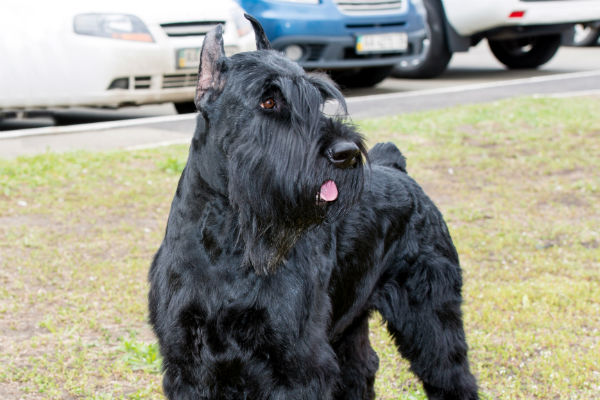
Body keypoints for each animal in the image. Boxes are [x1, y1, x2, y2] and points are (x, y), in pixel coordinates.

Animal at [149, 15, 478, 400]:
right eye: (269, 101)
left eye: (319, 99)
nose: (346, 152)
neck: (229, 239)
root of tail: (398, 169)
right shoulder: (187, 362)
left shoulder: (297, 362)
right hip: (350, 320)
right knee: (363, 366)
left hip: (430, 312)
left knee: (451, 373)